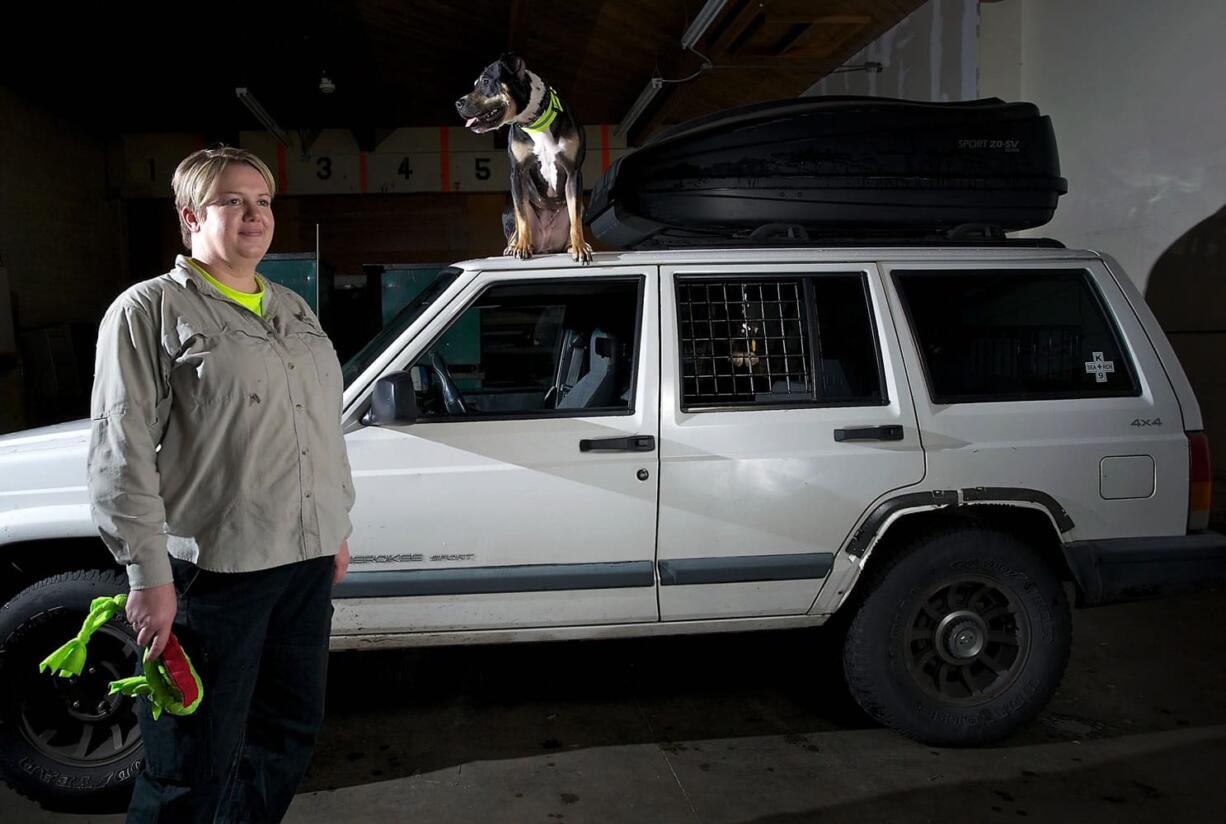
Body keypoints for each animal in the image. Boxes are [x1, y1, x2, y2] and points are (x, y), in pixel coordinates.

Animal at [460, 51, 593, 262]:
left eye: (486, 81)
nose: (458, 103)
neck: (535, 121)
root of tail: (546, 244)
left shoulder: (573, 172)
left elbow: (575, 217)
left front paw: (579, 246)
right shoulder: (518, 173)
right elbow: (522, 217)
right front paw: (521, 246)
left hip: (581, 205)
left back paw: (571, 245)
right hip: (508, 211)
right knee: (516, 220)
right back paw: (514, 245)